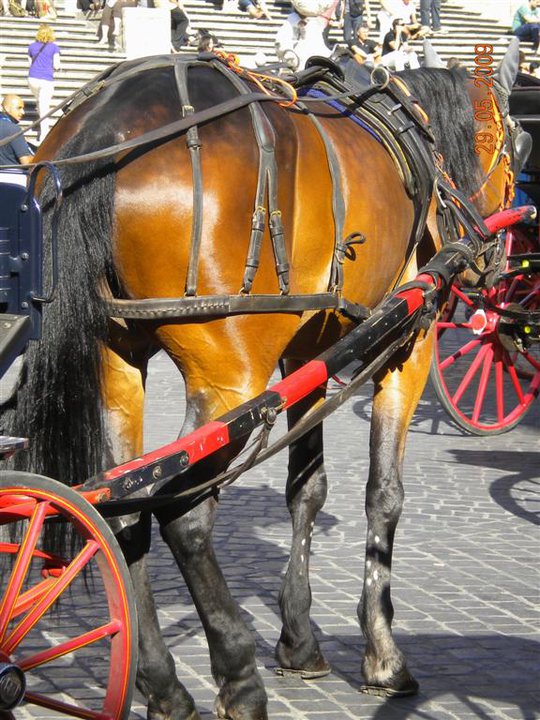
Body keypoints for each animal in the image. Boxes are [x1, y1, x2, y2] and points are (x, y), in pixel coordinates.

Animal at [1, 39, 527, 720]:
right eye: (516, 147)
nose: (499, 265)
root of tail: (103, 128)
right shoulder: (405, 347)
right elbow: (383, 496)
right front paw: (383, 656)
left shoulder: (305, 356)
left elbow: (308, 489)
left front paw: (299, 641)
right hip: (232, 376)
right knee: (184, 515)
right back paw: (237, 674)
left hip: (117, 362)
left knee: (121, 513)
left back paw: (164, 685)